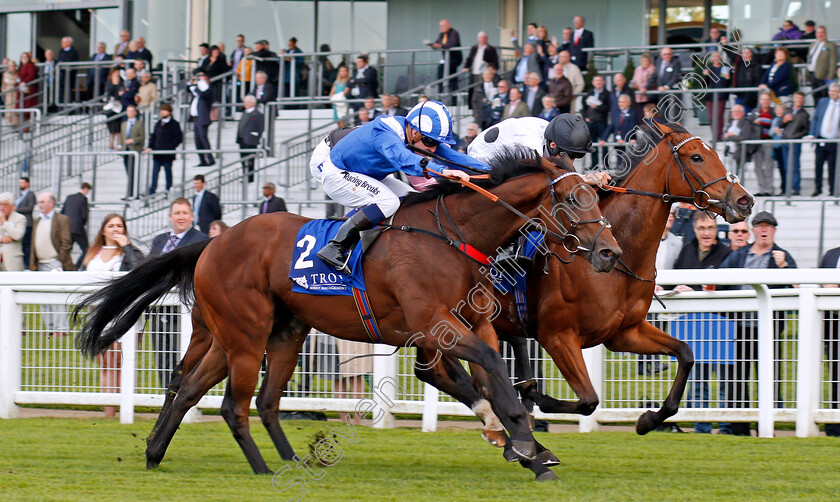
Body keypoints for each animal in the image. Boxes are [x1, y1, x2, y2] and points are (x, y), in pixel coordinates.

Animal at [74, 150, 624, 482]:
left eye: (597, 195)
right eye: (571, 199)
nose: (609, 253)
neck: (453, 234)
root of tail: (211, 241)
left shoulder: (476, 320)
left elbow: (493, 375)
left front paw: (524, 443)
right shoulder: (434, 326)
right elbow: (489, 371)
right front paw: (525, 444)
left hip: (272, 333)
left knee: (207, 390)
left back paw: (166, 453)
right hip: (245, 333)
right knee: (234, 404)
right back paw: (264, 469)